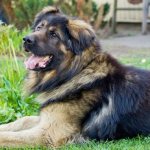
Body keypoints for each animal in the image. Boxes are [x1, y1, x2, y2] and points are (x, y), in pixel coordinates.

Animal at [0, 6, 150, 148]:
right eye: (38, 28)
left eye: (53, 34)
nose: (26, 39)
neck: (74, 73)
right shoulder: (46, 119)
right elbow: (22, 120)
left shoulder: (48, 134)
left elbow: (7, 136)